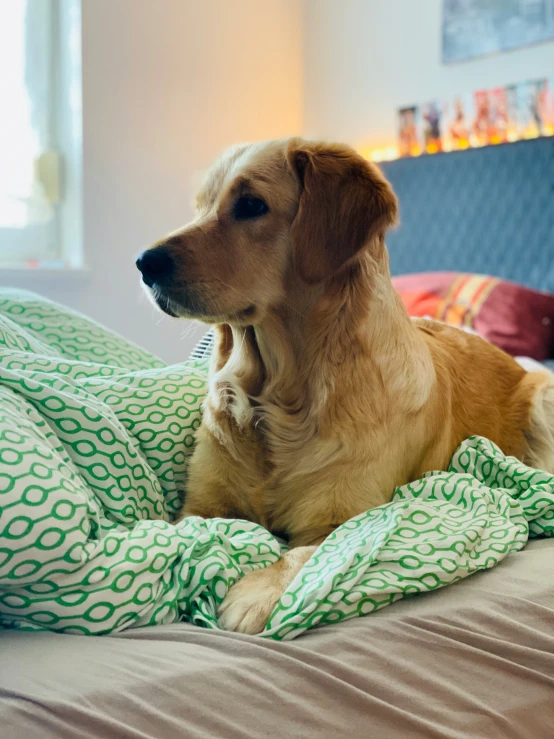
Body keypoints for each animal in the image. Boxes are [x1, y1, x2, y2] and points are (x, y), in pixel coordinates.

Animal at [136, 139, 552, 636]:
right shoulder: (201, 506)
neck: (279, 394)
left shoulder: (348, 514)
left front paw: (257, 591)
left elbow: (308, 552)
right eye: (200, 207)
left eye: (251, 205)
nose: (144, 263)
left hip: (544, 394)